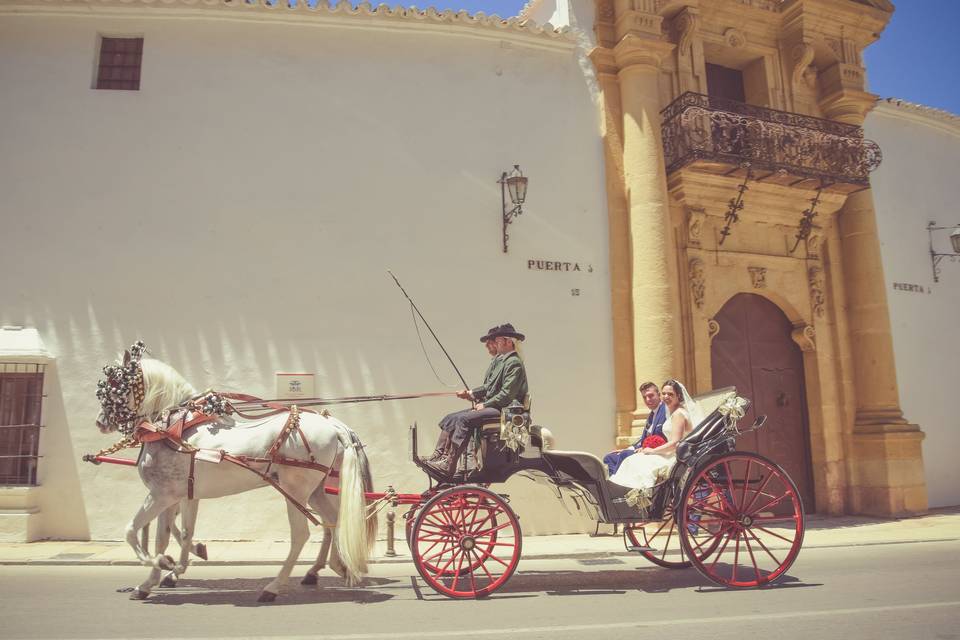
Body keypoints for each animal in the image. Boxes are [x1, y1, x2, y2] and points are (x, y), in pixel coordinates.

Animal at [96, 356, 376, 600]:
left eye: (114, 384)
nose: (100, 422)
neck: (173, 429)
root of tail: (334, 426)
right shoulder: (178, 496)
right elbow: (171, 536)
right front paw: (155, 578)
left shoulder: (160, 495)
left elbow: (132, 531)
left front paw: (162, 564)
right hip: (317, 491)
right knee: (335, 523)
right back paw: (337, 567)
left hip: (295, 492)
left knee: (301, 535)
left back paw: (274, 587)